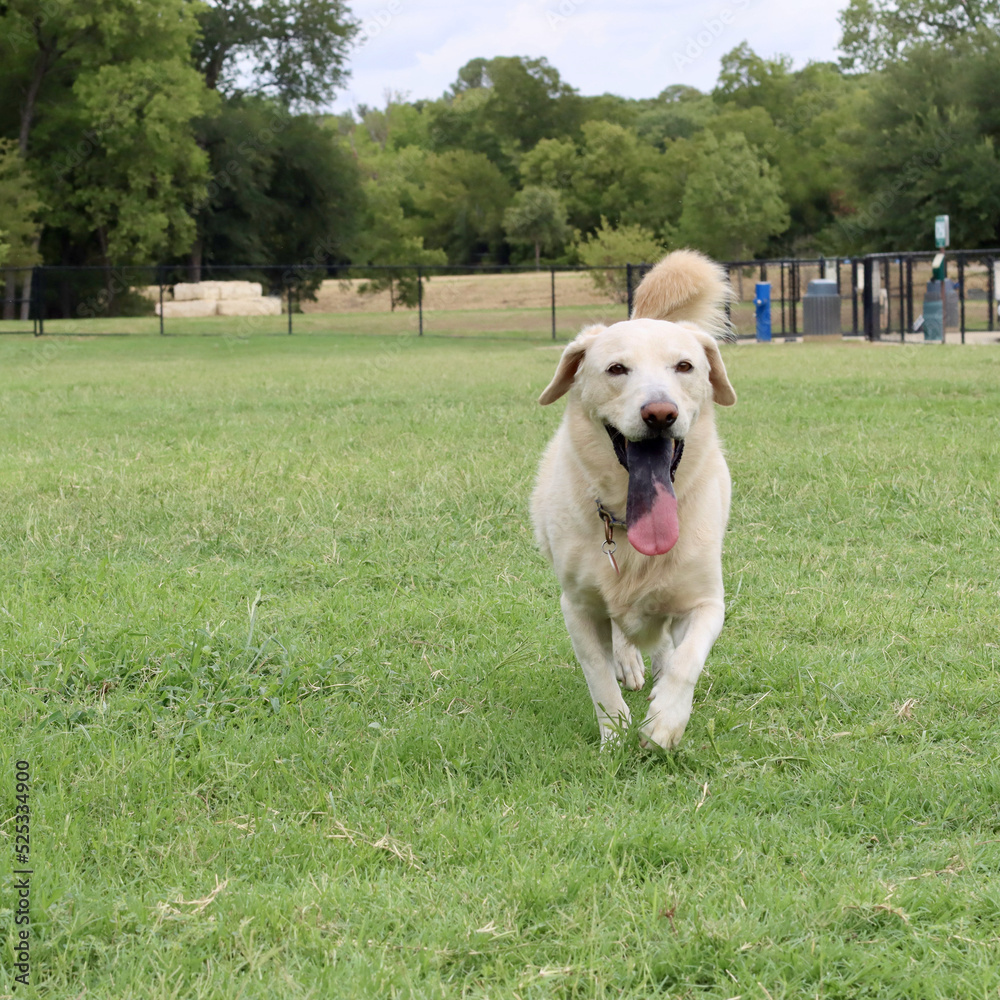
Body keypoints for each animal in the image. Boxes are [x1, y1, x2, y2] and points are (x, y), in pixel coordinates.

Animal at [532, 252, 736, 752]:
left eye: (684, 366)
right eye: (616, 369)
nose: (660, 413)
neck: (628, 520)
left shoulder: (705, 602)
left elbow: (687, 661)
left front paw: (664, 722)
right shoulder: (579, 607)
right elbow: (598, 677)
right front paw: (615, 735)